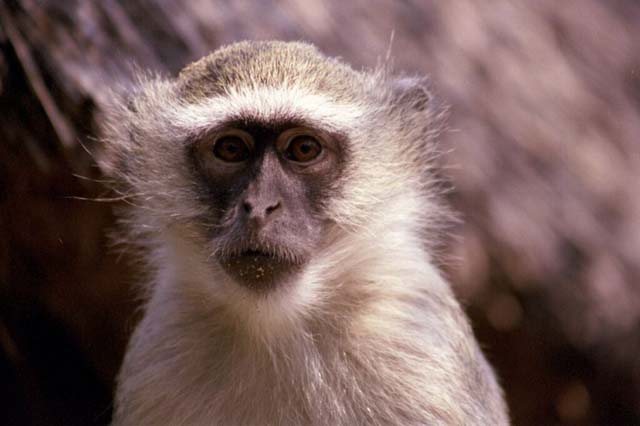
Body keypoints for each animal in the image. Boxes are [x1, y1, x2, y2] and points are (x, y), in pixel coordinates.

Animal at [102, 40, 509, 425]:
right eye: (231, 148)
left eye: (303, 148)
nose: (260, 207)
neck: (274, 325)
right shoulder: (161, 349)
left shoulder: (415, 337)